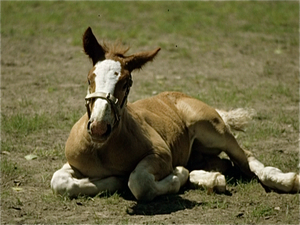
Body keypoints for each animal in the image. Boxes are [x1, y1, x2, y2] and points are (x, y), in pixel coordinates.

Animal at [51, 26, 298, 200]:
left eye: (126, 82)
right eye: (89, 78)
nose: (99, 128)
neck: (104, 148)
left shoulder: (161, 154)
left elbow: (139, 183)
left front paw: (177, 175)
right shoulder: (73, 164)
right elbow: (59, 182)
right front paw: (112, 180)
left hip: (213, 129)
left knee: (245, 158)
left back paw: (286, 180)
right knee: (222, 165)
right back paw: (212, 179)